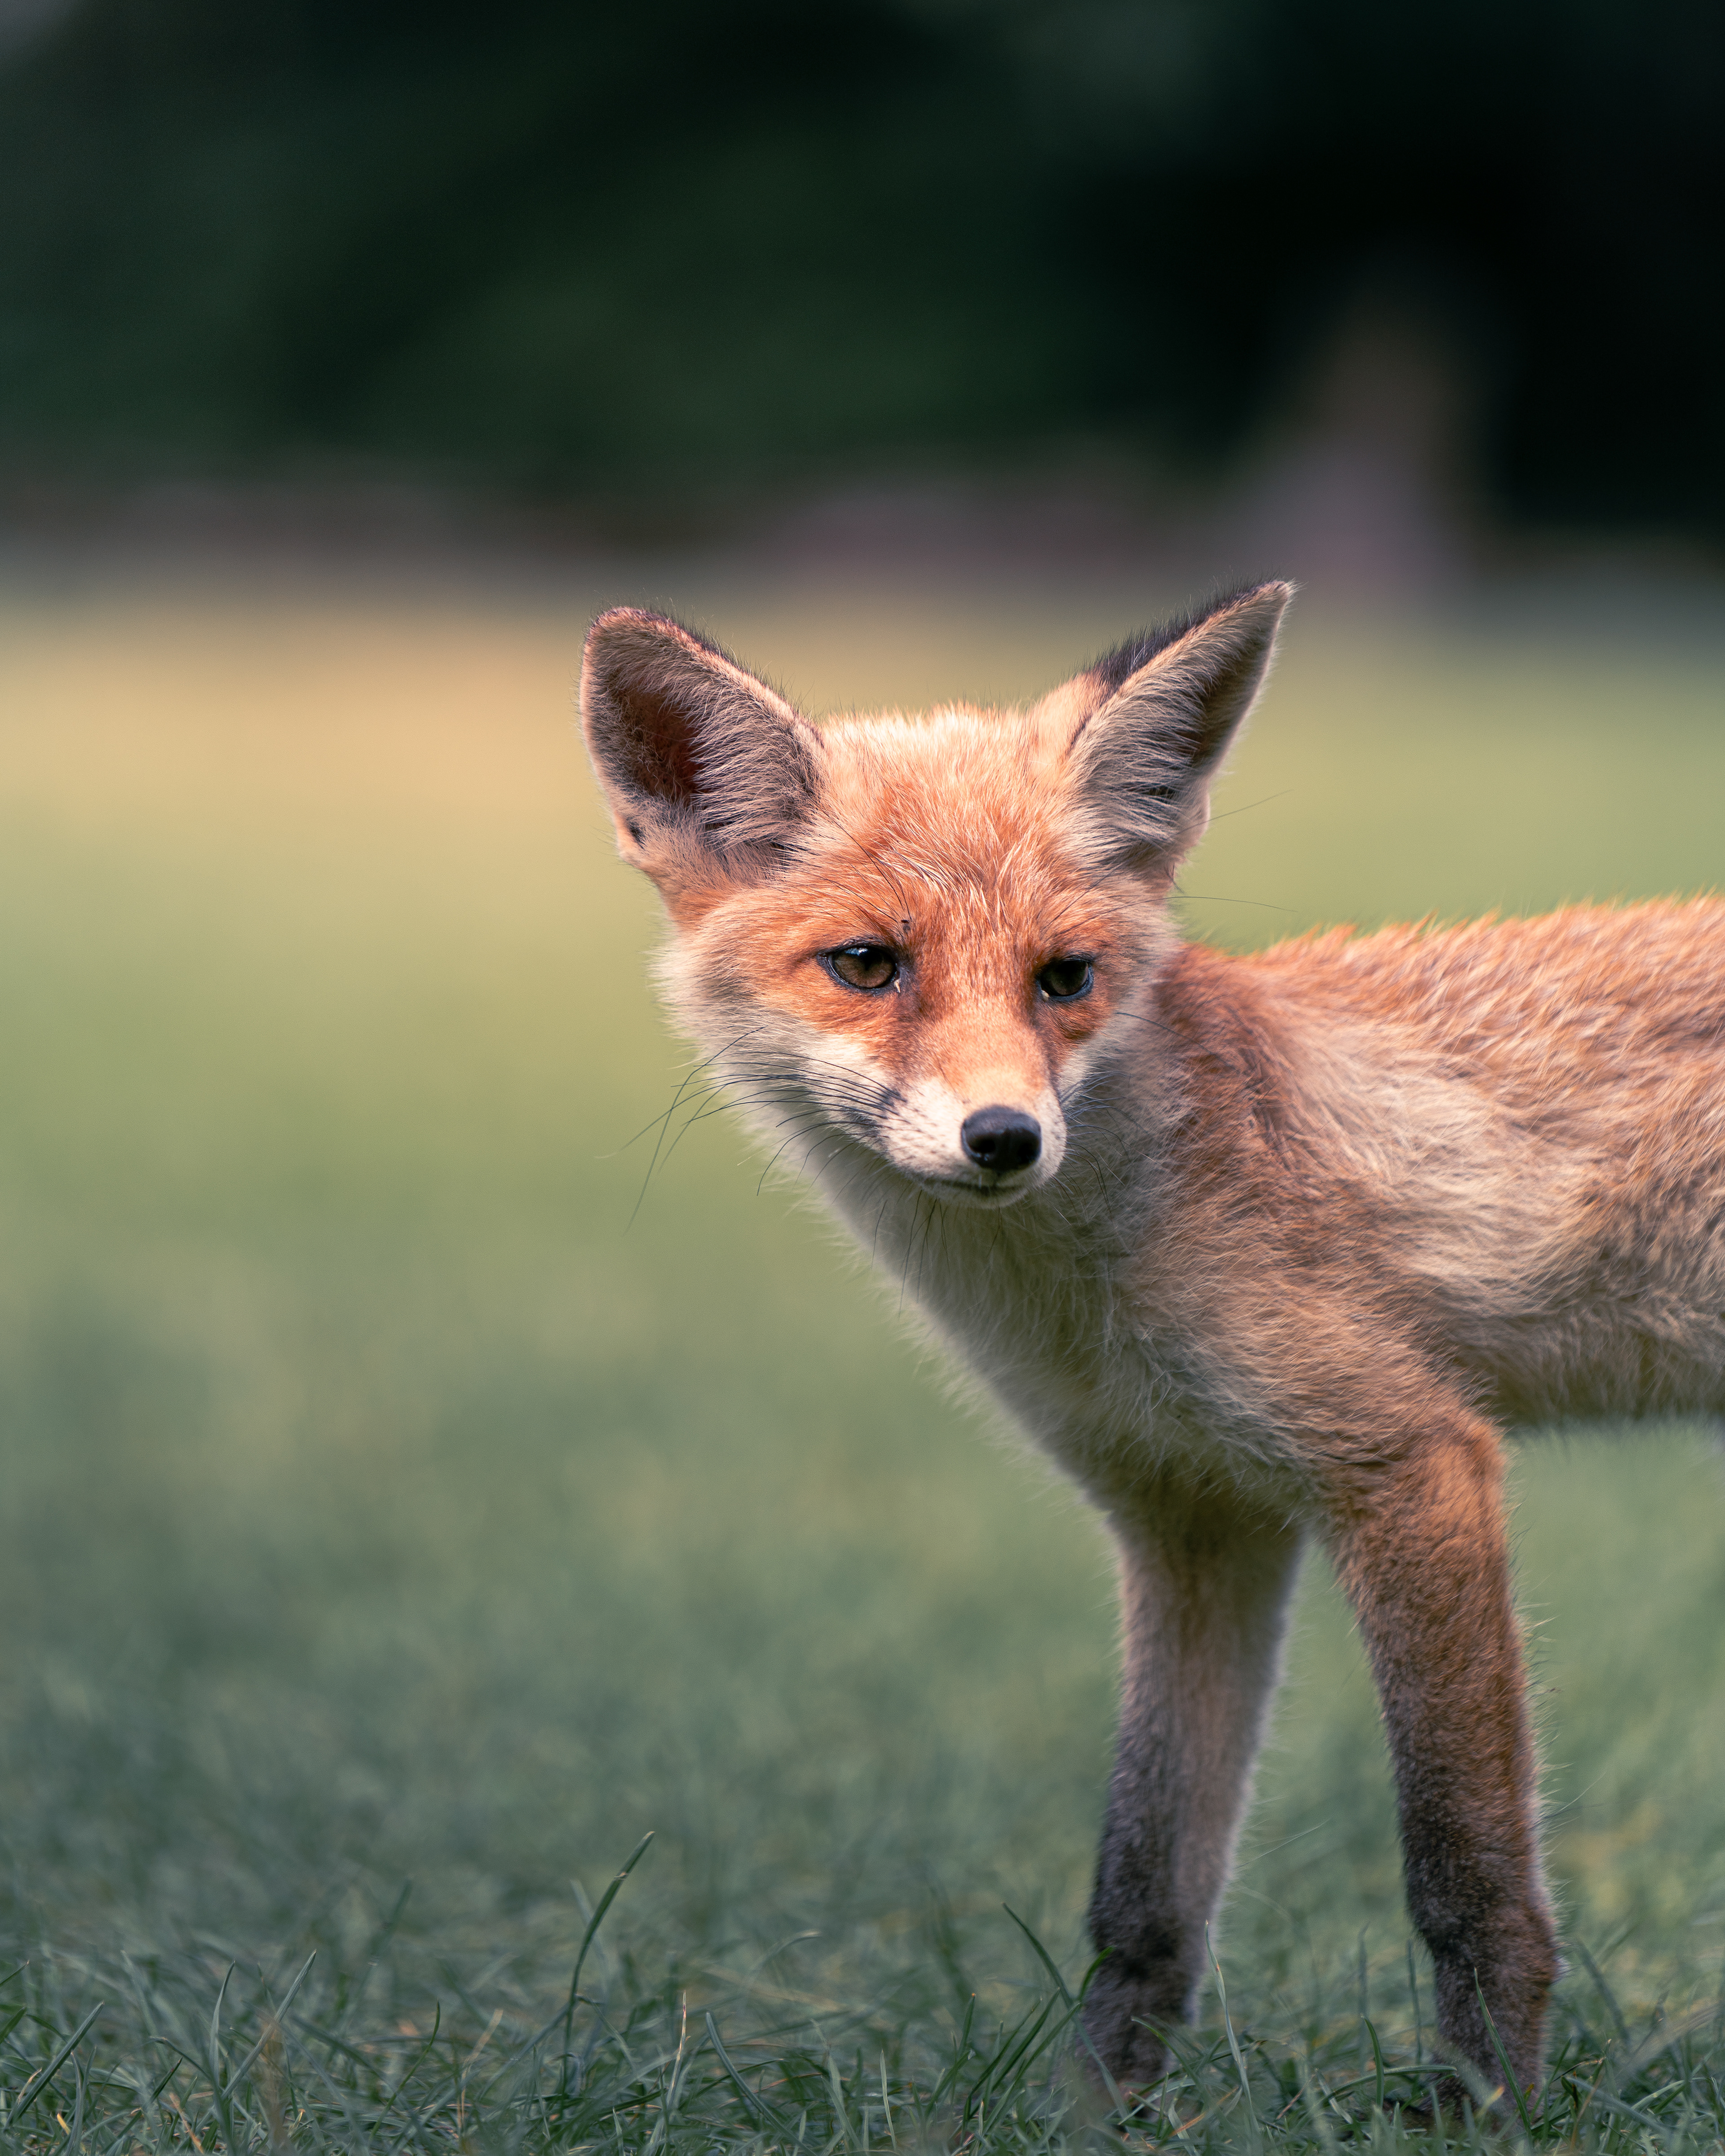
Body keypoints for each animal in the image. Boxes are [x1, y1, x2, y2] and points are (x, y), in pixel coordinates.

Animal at [580, 582, 1725, 2113]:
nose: (1005, 1138)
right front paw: (1093, 2111)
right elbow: (1147, 1888)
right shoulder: (1191, 1514)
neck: (1093, 1285)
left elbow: (1462, 1864)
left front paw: (1484, 2108)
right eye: (868, 965)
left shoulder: (1406, 1460)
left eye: (1065, 978)